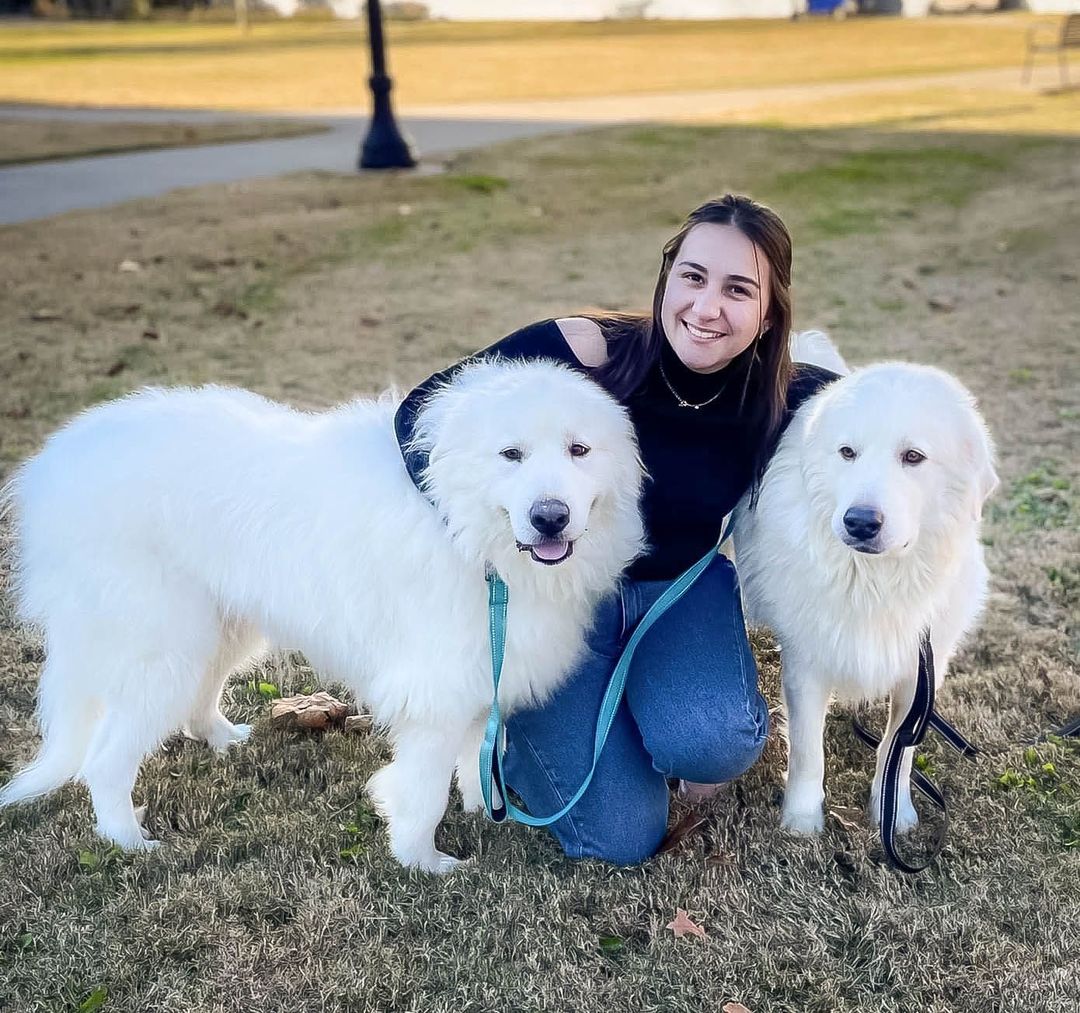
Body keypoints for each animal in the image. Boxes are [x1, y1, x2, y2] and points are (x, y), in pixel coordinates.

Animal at [0, 360, 639, 868]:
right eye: (511, 455)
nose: (549, 517)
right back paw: (128, 840)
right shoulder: (435, 691)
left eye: (579, 450)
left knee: (196, 701)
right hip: (161, 647)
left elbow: (478, 755)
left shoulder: (484, 675)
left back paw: (223, 738)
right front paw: (423, 862)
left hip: (217, 628)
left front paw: (485, 809)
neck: (463, 528)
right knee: (104, 759)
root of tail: (51, 470)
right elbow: (425, 791)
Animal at [730, 334, 997, 833]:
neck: (875, 577)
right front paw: (802, 822)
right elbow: (808, 752)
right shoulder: (807, 661)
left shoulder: (920, 669)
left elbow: (899, 750)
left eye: (913, 457)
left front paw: (894, 812)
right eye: (847, 453)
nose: (859, 523)